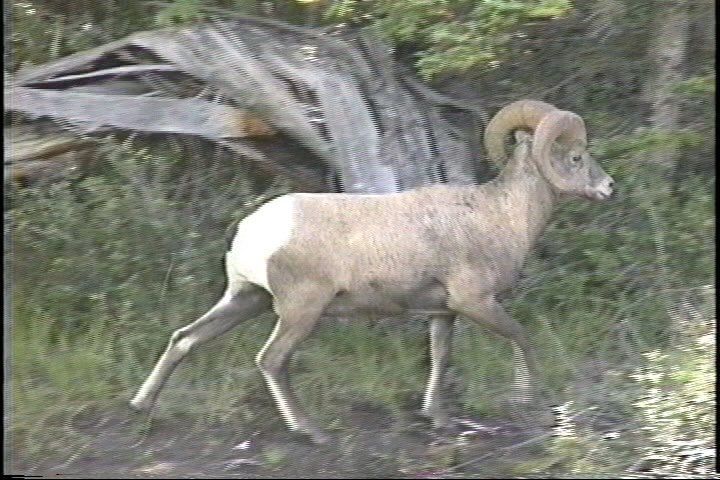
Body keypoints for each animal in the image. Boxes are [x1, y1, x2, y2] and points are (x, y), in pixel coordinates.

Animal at [129, 99, 612, 444]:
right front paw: (533, 405)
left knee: (185, 339)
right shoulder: (477, 303)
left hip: (246, 299)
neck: (499, 216)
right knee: (272, 360)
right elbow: (522, 339)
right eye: (574, 157)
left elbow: (440, 357)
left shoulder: (443, 313)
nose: (608, 187)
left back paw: (140, 407)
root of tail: (253, 231)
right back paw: (311, 432)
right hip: (300, 311)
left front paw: (438, 419)